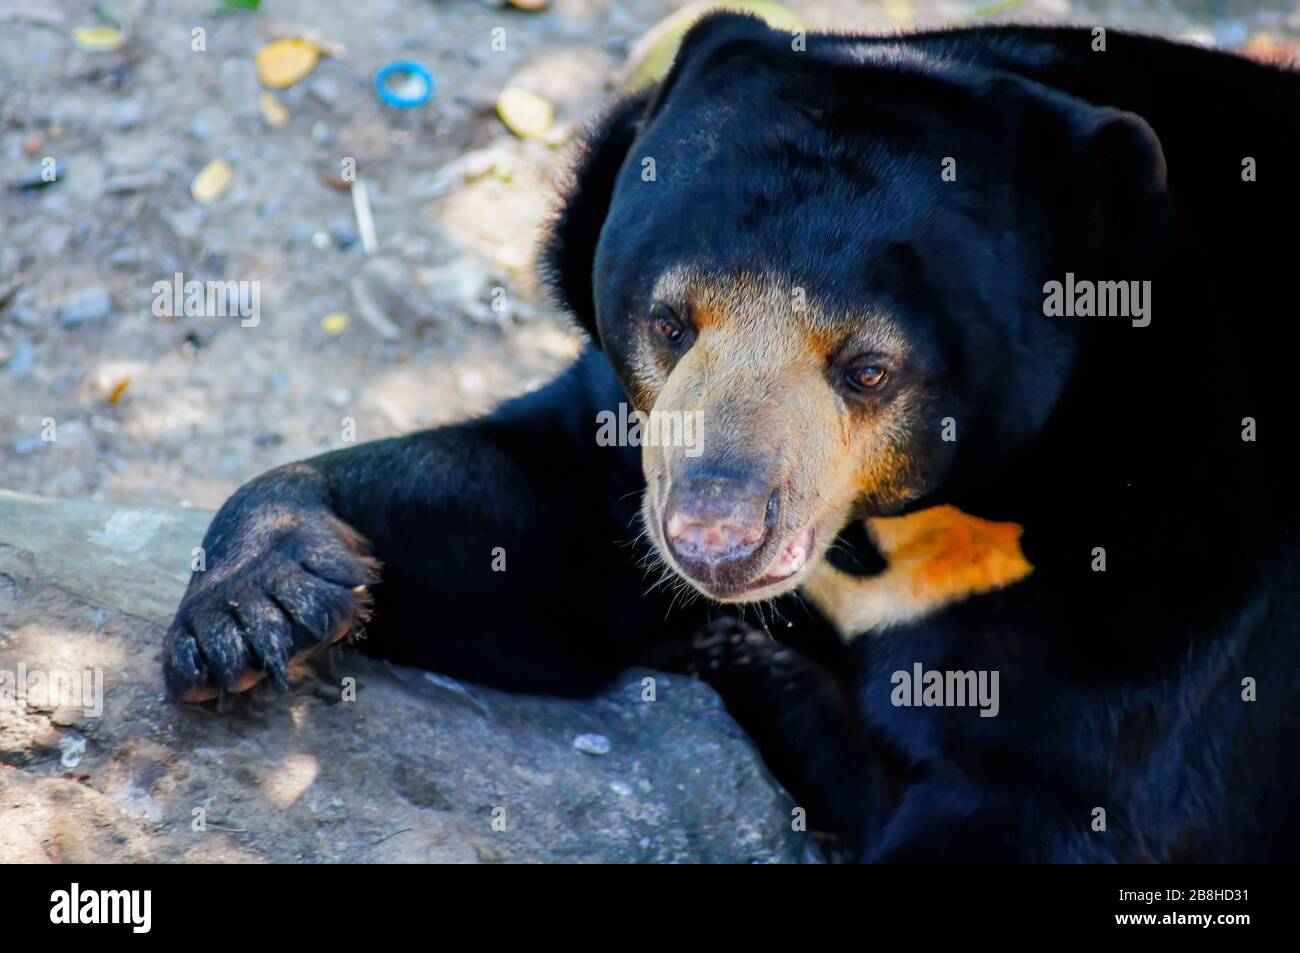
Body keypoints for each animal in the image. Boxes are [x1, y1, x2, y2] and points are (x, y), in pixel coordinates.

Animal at [163, 14, 1300, 862]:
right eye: (672, 322)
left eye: (869, 369)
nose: (714, 537)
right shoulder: (626, 441)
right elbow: (533, 533)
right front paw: (261, 600)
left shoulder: (1174, 581)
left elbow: (1056, 794)